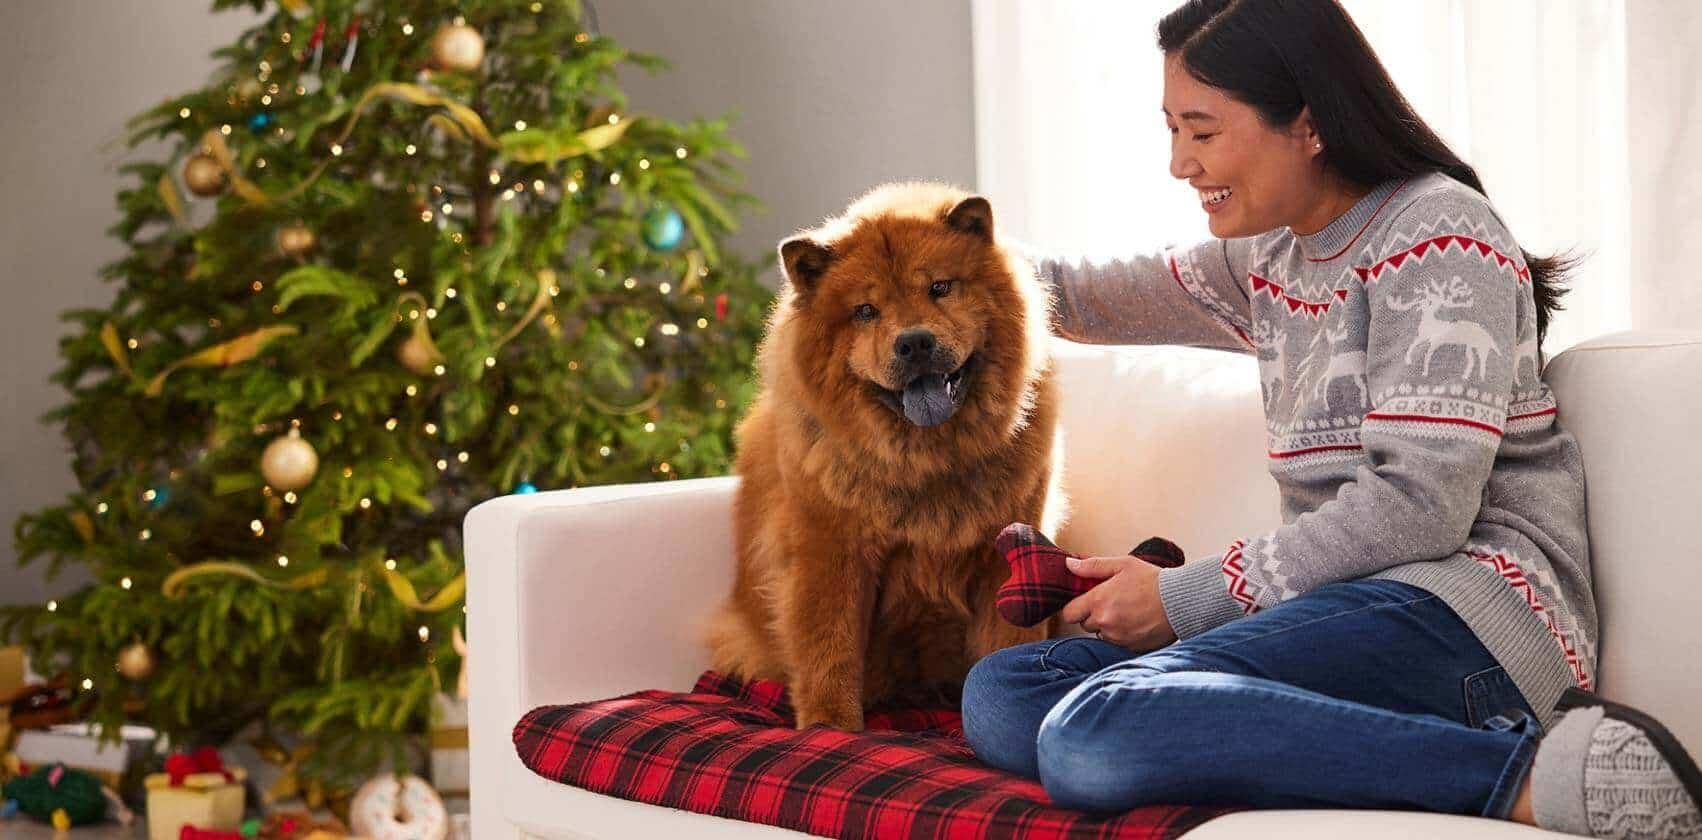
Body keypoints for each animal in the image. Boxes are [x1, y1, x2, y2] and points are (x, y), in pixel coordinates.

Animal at [704, 181, 1062, 727]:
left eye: (940, 288)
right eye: (866, 312)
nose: (913, 343)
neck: (929, 462)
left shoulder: (1007, 557)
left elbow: (1007, 641)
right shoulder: (831, 552)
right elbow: (829, 649)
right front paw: (830, 726)